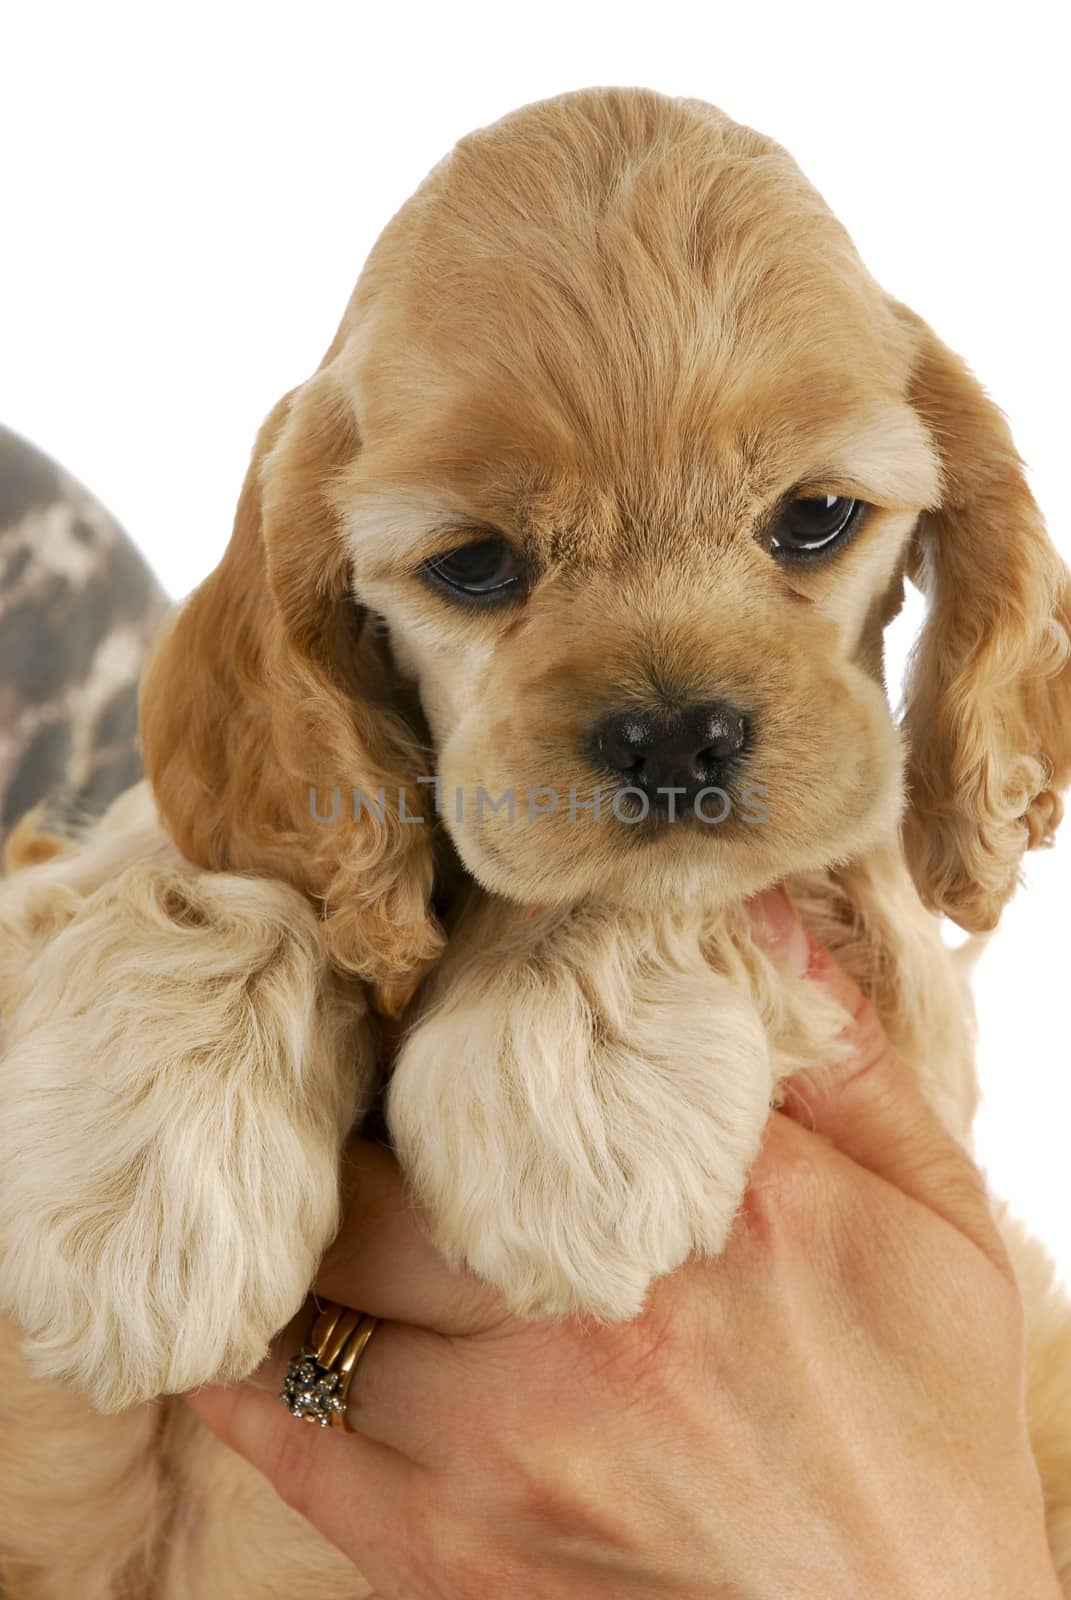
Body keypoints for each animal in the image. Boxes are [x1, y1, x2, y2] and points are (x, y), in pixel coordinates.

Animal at [2, 87, 1069, 1600]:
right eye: (473, 564)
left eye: (814, 517)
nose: (676, 740)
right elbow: (223, 861)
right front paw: (139, 1208)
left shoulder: (897, 991)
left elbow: (674, 886)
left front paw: (568, 1100)